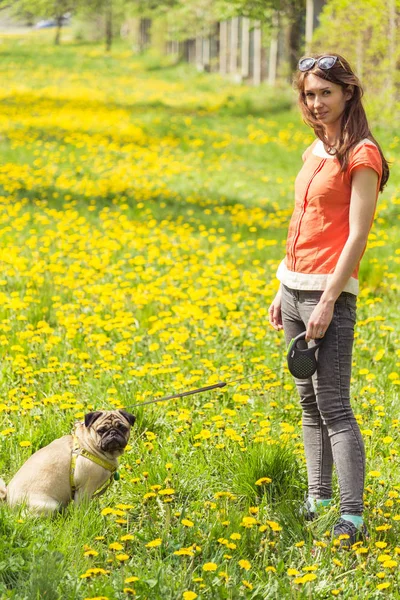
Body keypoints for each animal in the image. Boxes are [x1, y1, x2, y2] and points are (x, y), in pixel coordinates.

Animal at [0, 412, 135, 516]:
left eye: (123, 428)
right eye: (101, 431)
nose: (113, 433)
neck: (88, 445)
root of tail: (8, 499)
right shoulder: (85, 489)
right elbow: (81, 508)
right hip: (50, 505)